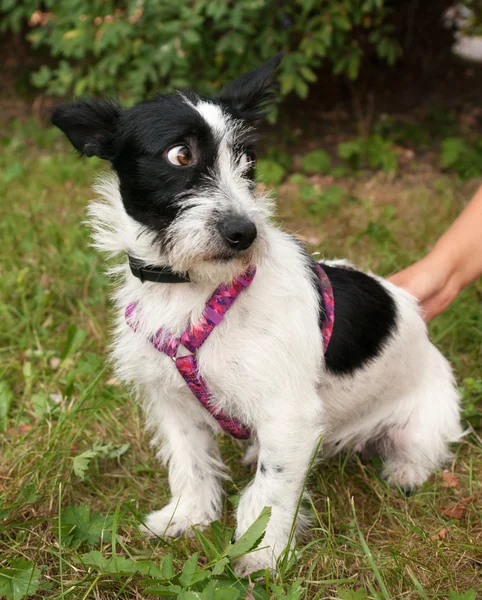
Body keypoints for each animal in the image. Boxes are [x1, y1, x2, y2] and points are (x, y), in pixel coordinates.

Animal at [50, 56, 462, 576]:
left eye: (248, 162)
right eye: (180, 155)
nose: (244, 232)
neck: (192, 289)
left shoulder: (290, 414)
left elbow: (271, 490)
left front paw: (262, 553)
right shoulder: (172, 400)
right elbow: (190, 463)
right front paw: (187, 517)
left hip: (425, 415)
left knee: (423, 446)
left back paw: (406, 469)